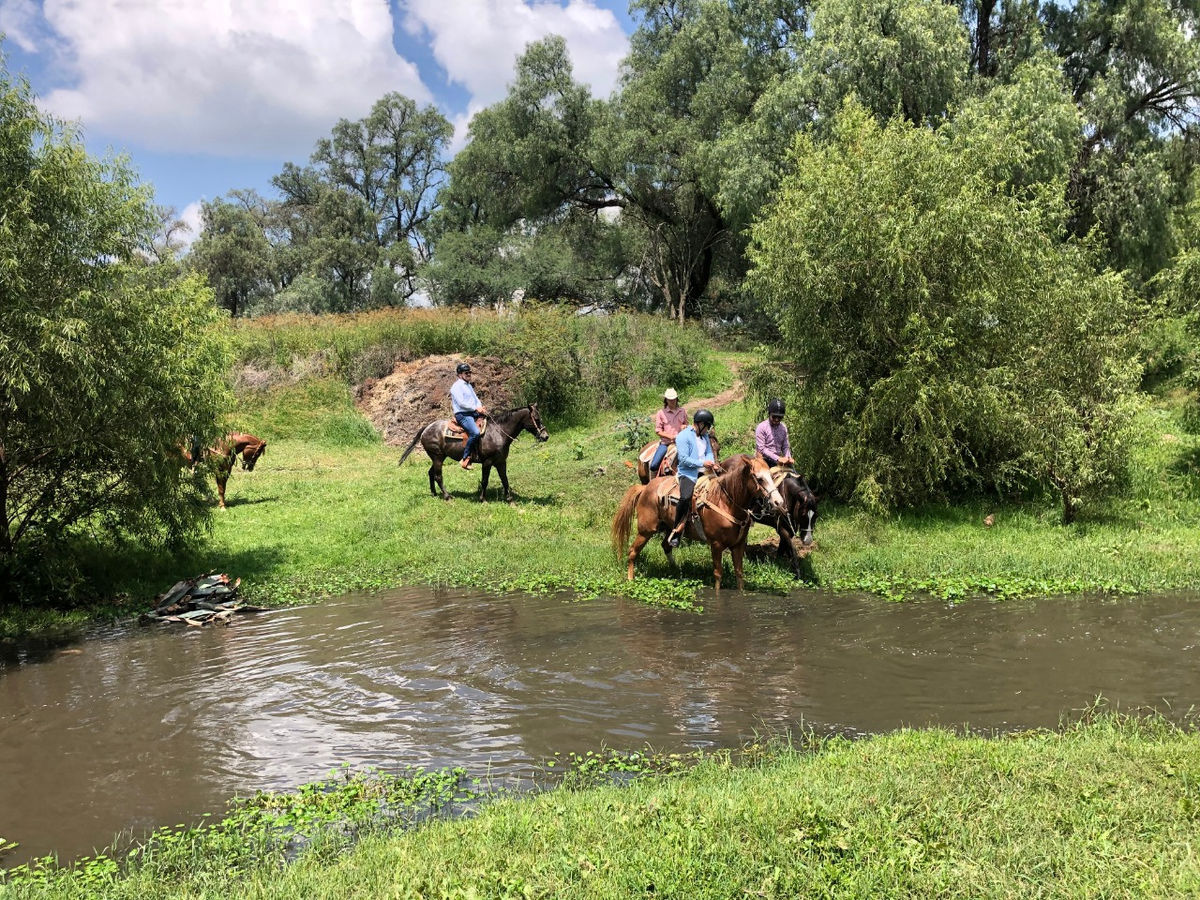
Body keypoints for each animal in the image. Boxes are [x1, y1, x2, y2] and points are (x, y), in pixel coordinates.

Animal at [396, 408, 549, 504]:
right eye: (536, 418)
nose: (545, 436)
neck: (498, 432)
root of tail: (427, 427)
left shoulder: (501, 462)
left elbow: (505, 480)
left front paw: (510, 500)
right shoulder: (487, 462)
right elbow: (485, 481)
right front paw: (483, 499)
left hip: (439, 457)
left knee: (430, 473)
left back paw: (434, 493)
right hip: (437, 457)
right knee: (438, 476)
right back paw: (447, 497)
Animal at [609, 458, 787, 592]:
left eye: (771, 476)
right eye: (759, 478)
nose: (779, 502)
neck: (726, 502)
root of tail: (645, 487)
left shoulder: (739, 545)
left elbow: (739, 573)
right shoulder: (716, 545)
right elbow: (718, 574)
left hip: (669, 528)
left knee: (666, 545)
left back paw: (677, 572)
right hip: (646, 530)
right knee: (632, 552)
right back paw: (630, 580)